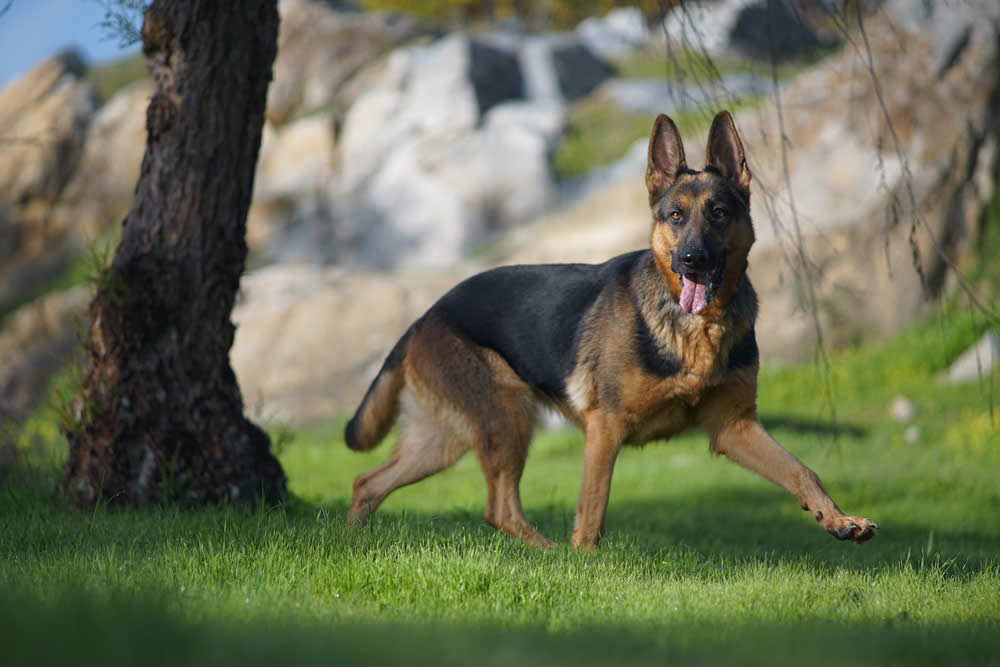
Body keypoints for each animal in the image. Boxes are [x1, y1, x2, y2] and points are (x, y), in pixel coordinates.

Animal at [348, 111, 880, 548]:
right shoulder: (606, 427)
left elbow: (802, 470)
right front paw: (584, 563)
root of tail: (426, 315)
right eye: (675, 216)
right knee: (499, 508)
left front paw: (839, 520)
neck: (695, 329)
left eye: (719, 213)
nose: (692, 260)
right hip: (507, 419)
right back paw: (553, 557)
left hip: (444, 441)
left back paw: (352, 539)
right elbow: (593, 509)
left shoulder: (734, 428)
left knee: (368, 482)